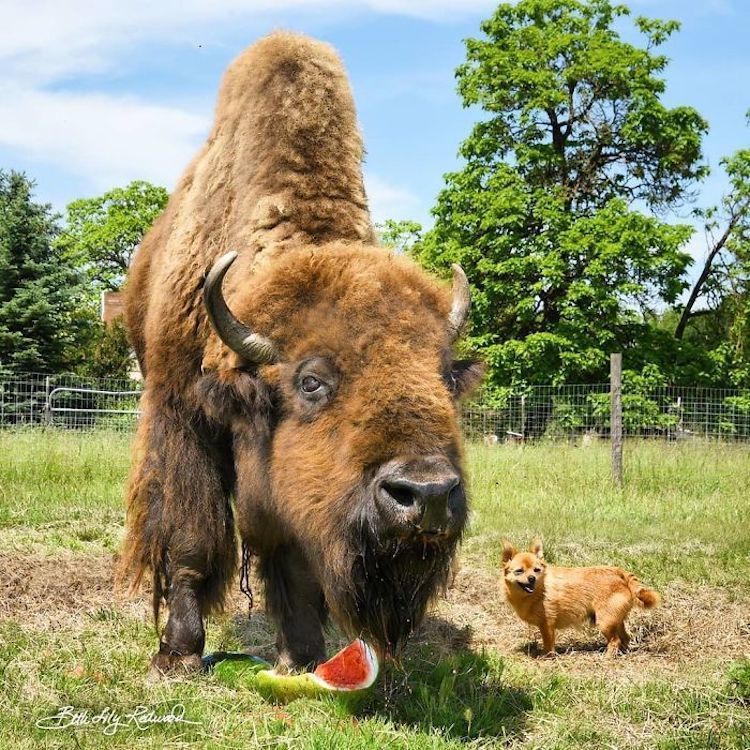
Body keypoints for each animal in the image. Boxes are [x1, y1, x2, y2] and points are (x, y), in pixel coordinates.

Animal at [117, 30, 482, 676]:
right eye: (311, 382)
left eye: (444, 377)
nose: (428, 496)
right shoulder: (181, 417)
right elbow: (191, 538)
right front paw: (178, 654)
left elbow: (294, 554)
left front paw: (305, 654)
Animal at [506, 540, 656, 656]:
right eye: (519, 571)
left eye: (537, 570)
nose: (532, 578)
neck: (539, 590)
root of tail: (618, 572)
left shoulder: (547, 625)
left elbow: (548, 644)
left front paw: (547, 656)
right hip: (615, 620)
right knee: (625, 638)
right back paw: (621, 653)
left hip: (604, 623)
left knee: (615, 641)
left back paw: (607, 657)